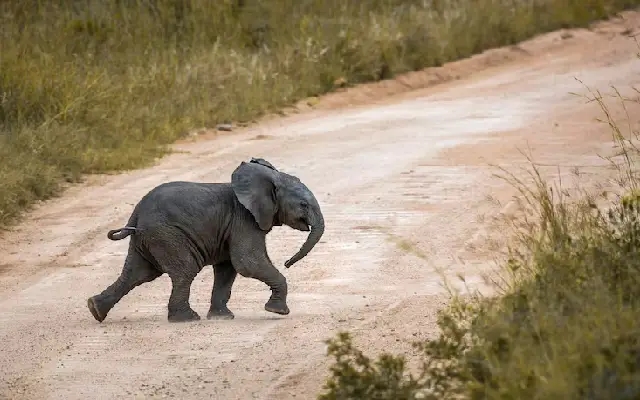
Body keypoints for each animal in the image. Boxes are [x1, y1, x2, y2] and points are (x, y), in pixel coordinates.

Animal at [86, 157, 325, 323]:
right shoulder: (244, 220)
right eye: (303, 205)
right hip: (166, 235)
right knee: (184, 270)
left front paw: (222, 318)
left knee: (138, 273)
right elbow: (247, 262)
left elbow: (228, 268)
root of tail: (136, 212)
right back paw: (186, 319)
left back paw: (95, 310)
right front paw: (278, 311)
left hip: (148, 237)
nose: (287, 262)